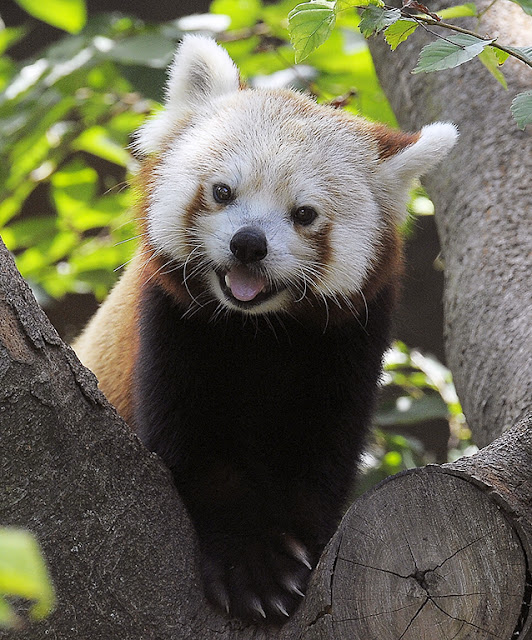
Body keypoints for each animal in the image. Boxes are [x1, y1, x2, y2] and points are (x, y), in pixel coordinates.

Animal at [72, 35, 460, 624]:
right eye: (223, 192)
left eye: (304, 214)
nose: (249, 244)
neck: (259, 331)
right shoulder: (172, 328)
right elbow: (201, 453)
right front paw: (251, 565)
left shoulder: (348, 348)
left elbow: (319, 463)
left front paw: (301, 547)